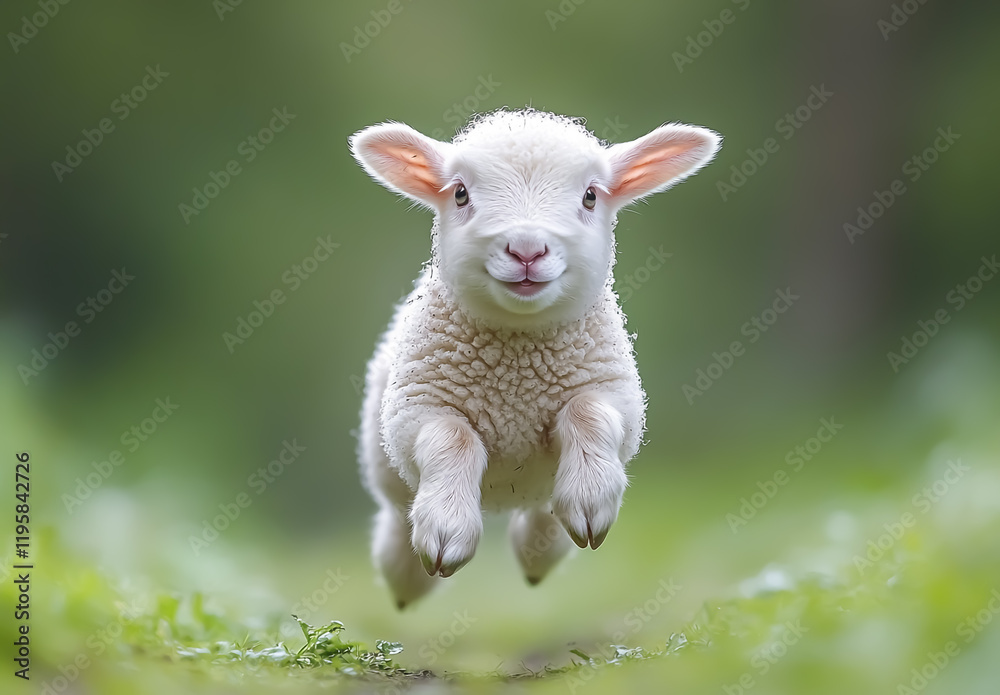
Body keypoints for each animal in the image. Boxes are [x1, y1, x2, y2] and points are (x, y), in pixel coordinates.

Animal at [350, 109, 720, 608]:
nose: (526, 249)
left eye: (590, 196)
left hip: (540, 485)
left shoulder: (615, 397)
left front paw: (591, 499)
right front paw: (446, 531)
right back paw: (407, 579)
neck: (518, 371)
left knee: (544, 511)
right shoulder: (416, 411)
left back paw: (542, 554)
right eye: (460, 192)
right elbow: (452, 440)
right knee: (396, 516)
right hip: (386, 462)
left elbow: (588, 414)